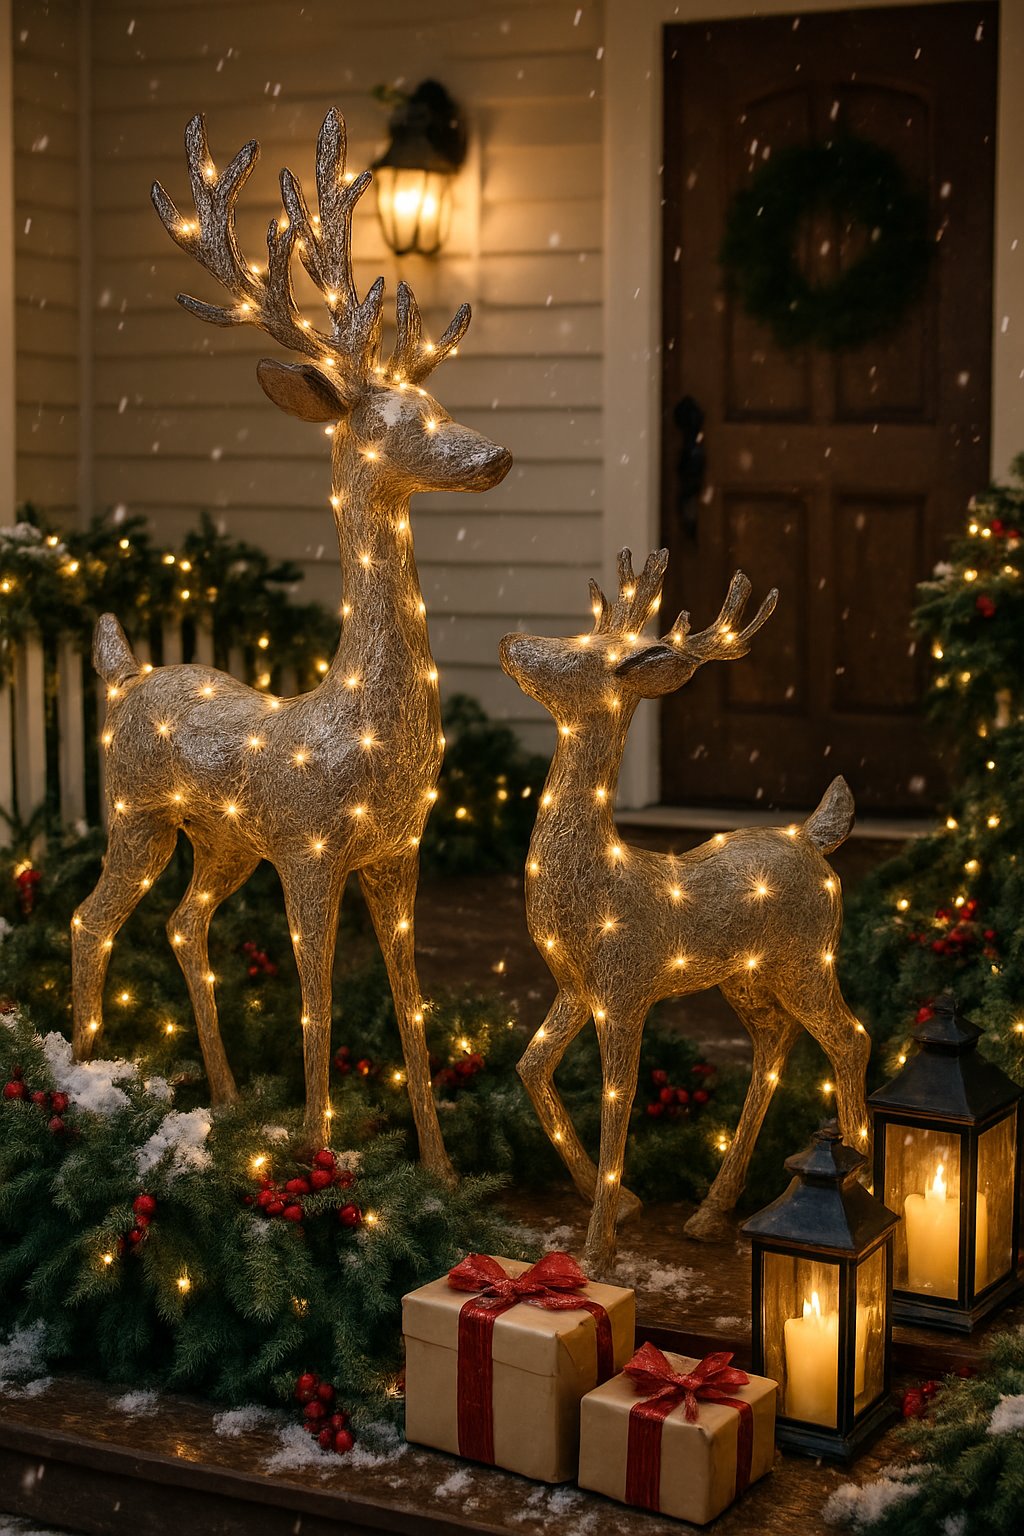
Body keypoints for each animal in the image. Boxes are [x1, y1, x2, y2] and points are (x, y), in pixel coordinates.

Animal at [70, 109, 511, 1176]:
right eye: (397, 422)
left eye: (438, 405)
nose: (494, 454)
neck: (359, 719)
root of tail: (124, 676)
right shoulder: (310, 849)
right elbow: (316, 995)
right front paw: (320, 1156)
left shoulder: (396, 854)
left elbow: (408, 1001)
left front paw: (440, 1169)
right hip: (138, 811)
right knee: (91, 918)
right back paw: (92, 1082)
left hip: (222, 840)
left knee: (183, 927)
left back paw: (227, 1101)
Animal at [499, 549, 871, 1274]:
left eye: (579, 652)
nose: (507, 642)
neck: (599, 881)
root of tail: (812, 837)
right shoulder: (575, 986)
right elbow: (531, 1068)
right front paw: (625, 1204)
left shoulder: (625, 989)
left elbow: (619, 1103)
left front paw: (598, 1252)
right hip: (747, 976)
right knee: (775, 1043)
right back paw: (709, 1212)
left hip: (807, 958)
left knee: (849, 1037)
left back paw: (864, 1178)